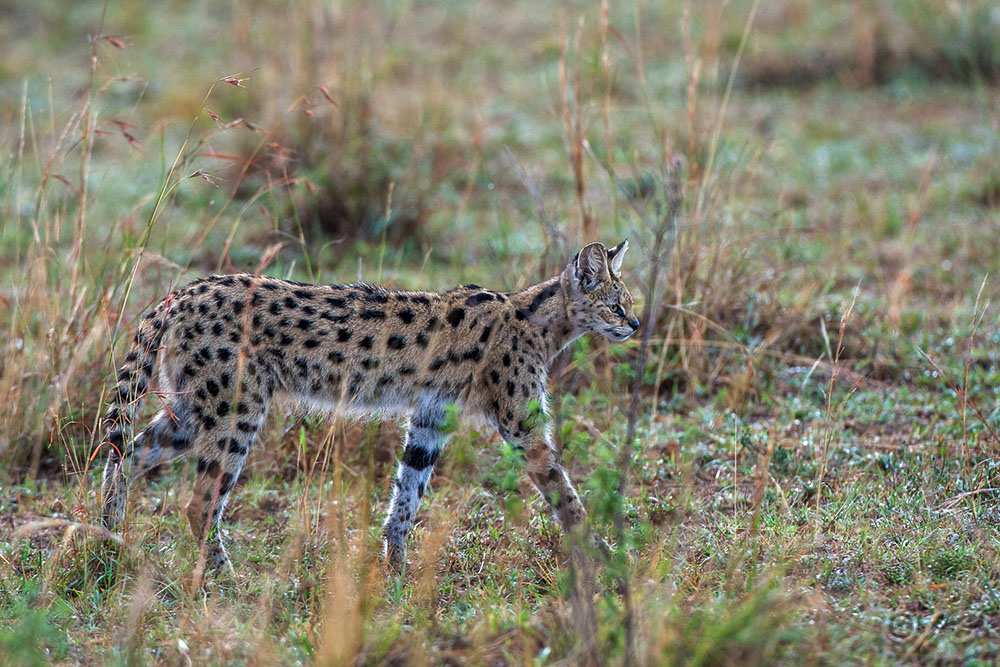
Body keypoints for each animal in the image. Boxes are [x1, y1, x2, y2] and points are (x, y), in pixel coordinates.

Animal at [99, 240, 640, 574]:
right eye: (616, 305)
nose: (635, 324)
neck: (538, 320)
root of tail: (182, 291)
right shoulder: (521, 425)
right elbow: (565, 491)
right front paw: (606, 555)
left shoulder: (430, 419)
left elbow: (407, 494)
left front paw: (395, 568)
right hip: (235, 410)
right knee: (197, 501)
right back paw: (222, 578)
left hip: (191, 411)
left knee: (124, 455)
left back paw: (108, 537)